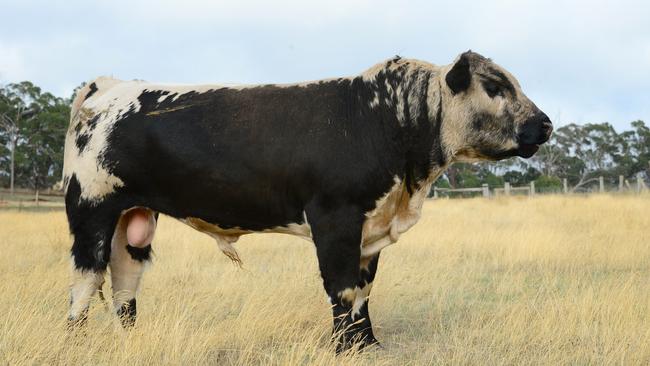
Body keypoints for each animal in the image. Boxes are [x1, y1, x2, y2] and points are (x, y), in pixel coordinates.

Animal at [64, 51, 552, 352]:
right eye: (494, 87)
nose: (545, 124)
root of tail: (111, 85)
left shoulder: (370, 228)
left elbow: (365, 289)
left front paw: (366, 344)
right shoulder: (336, 219)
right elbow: (343, 287)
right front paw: (344, 347)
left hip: (133, 215)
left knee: (125, 280)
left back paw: (129, 340)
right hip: (92, 208)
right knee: (87, 278)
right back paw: (77, 340)